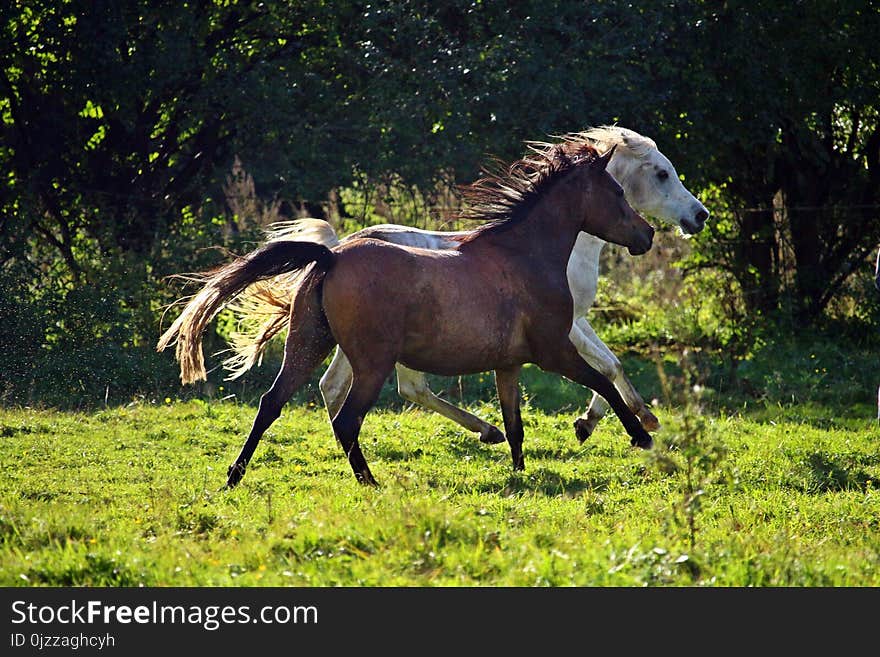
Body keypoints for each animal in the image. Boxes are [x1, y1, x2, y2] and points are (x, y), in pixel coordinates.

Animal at [156, 140, 652, 486]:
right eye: (616, 191)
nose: (646, 235)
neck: (524, 256)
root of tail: (331, 257)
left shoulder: (509, 364)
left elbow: (515, 424)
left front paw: (519, 472)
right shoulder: (553, 350)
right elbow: (603, 383)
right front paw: (640, 435)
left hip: (309, 342)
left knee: (272, 403)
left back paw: (233, 477)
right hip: (371, 362)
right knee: (347, 418)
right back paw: (370, 482)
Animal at [225, 125, 708, 444]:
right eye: (661, 174)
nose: (699, 215)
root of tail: (338, 249)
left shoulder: (575, 322)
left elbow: (612, 365)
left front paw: (625, 419)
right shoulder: (565, 328)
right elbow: (607, 367)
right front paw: (619, 422)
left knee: (332, 386)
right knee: (407, 388)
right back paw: (486, 431)